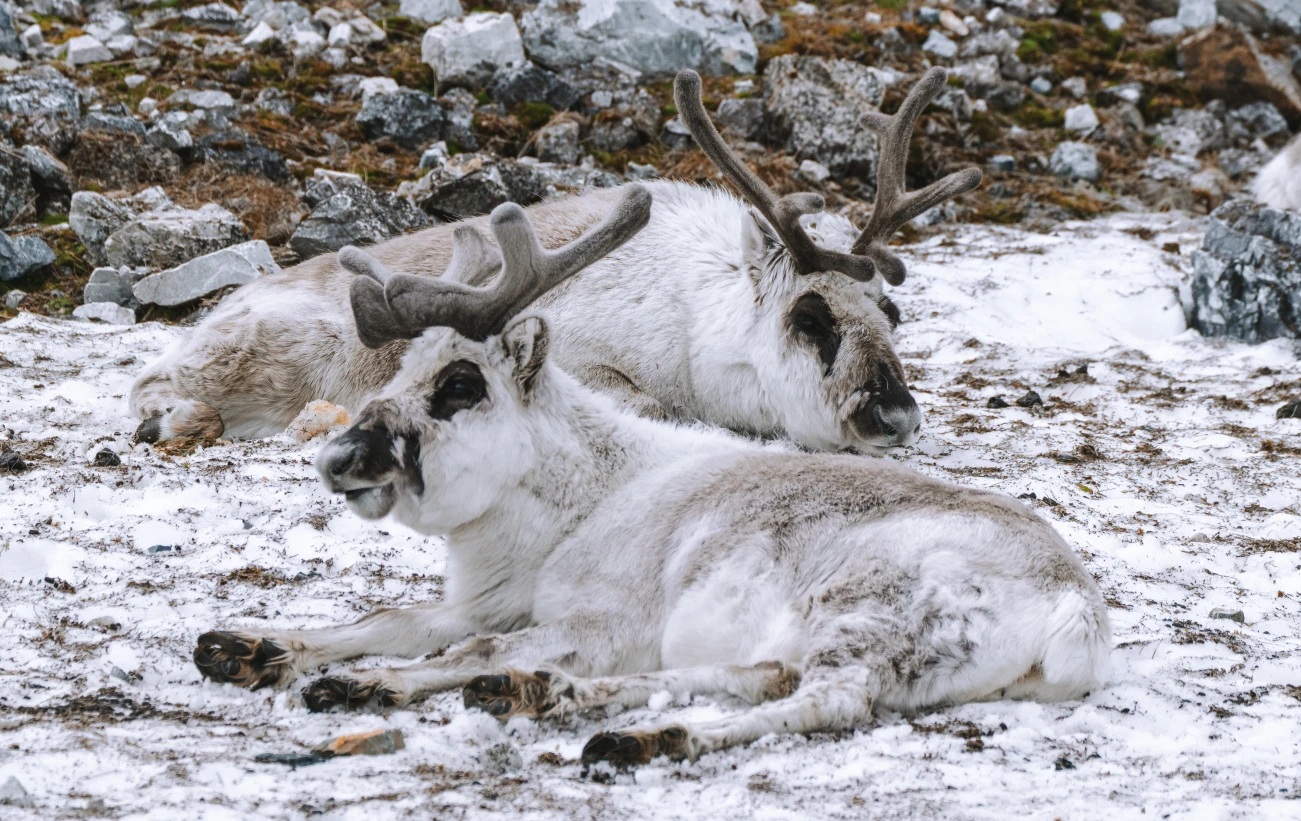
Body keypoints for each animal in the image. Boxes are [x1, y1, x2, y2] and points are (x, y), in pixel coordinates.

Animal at [130, 68, 982, 454]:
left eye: (891, 312)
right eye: (809, 316)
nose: (895, 413)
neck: (696, 325)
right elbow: (650, 408)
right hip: (273, 352)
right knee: (154, 384)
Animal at [192, 183, 1110, 767]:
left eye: (460, 384)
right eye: (399, 369)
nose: (336, 458)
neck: (578, 495)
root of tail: (1076, 609)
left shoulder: (590, 621)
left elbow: (461, 644)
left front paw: (363, 683)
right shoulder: (481, 599)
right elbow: (391, 616)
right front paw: (251, 645)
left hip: (861, 613)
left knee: (824, 697)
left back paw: (634, 735)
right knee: (761, 673)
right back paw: (537, 695)